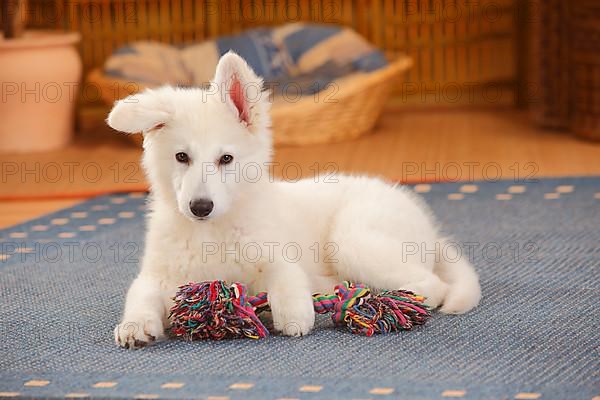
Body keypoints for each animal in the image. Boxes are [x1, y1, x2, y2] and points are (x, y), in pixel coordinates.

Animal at [109, 51, 482, 348]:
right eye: (181, 157)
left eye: (226, 159)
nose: (200, 207)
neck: (212, 231)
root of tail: (429, 229)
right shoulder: (156, 275)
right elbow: (139, 295)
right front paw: (135, 325)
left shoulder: (277, 253)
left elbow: (284, 276)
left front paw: (293, 313)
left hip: (352, 238)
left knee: (432, 286)